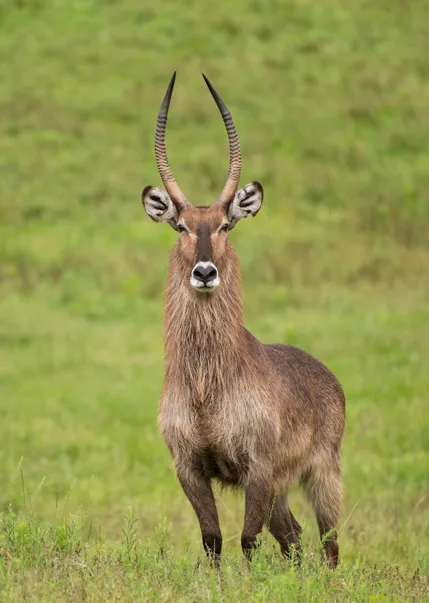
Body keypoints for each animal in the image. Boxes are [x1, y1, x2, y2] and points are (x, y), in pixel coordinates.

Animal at [140, 73, 344, 568]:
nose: (205, 272)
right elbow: (213, 539)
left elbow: (248, 541)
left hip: (322, 475)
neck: (206, 388)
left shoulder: (259, 468)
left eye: (225, 225)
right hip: (283, 490)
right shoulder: (189, 468)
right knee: (293, 538)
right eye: (181, 227)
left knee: (329, 543)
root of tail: (329, 376)